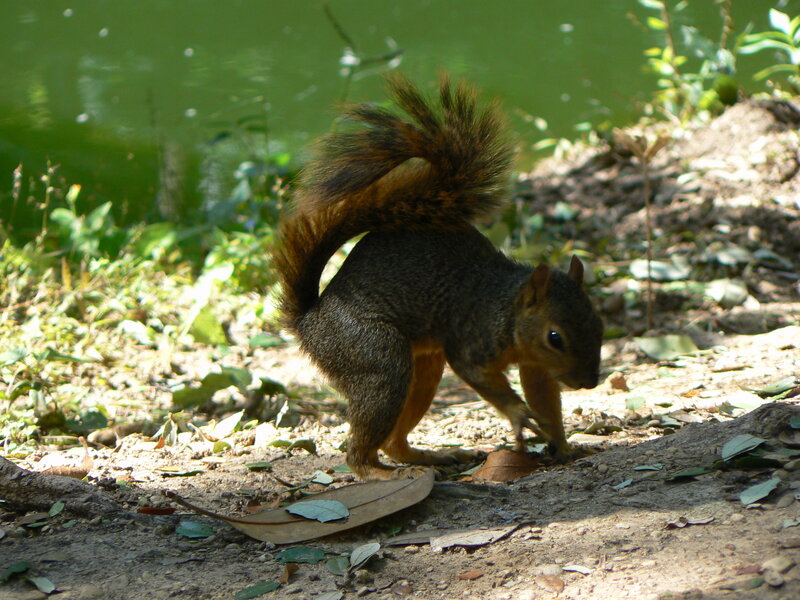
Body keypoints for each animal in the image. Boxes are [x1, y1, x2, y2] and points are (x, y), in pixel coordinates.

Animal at [274, 74, 604, 480]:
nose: (589, 382)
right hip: (378, 359)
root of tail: (309, 320)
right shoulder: (471, 341)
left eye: (599, 324)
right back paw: (380, 472)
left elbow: (544, 397)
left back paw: (433, 457)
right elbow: (480, 375)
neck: (506, 307)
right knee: (360, 450)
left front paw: (563, 444)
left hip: (423, 370)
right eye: (555, 337)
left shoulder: (535, 366)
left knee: (394, 443)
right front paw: (519, 415)